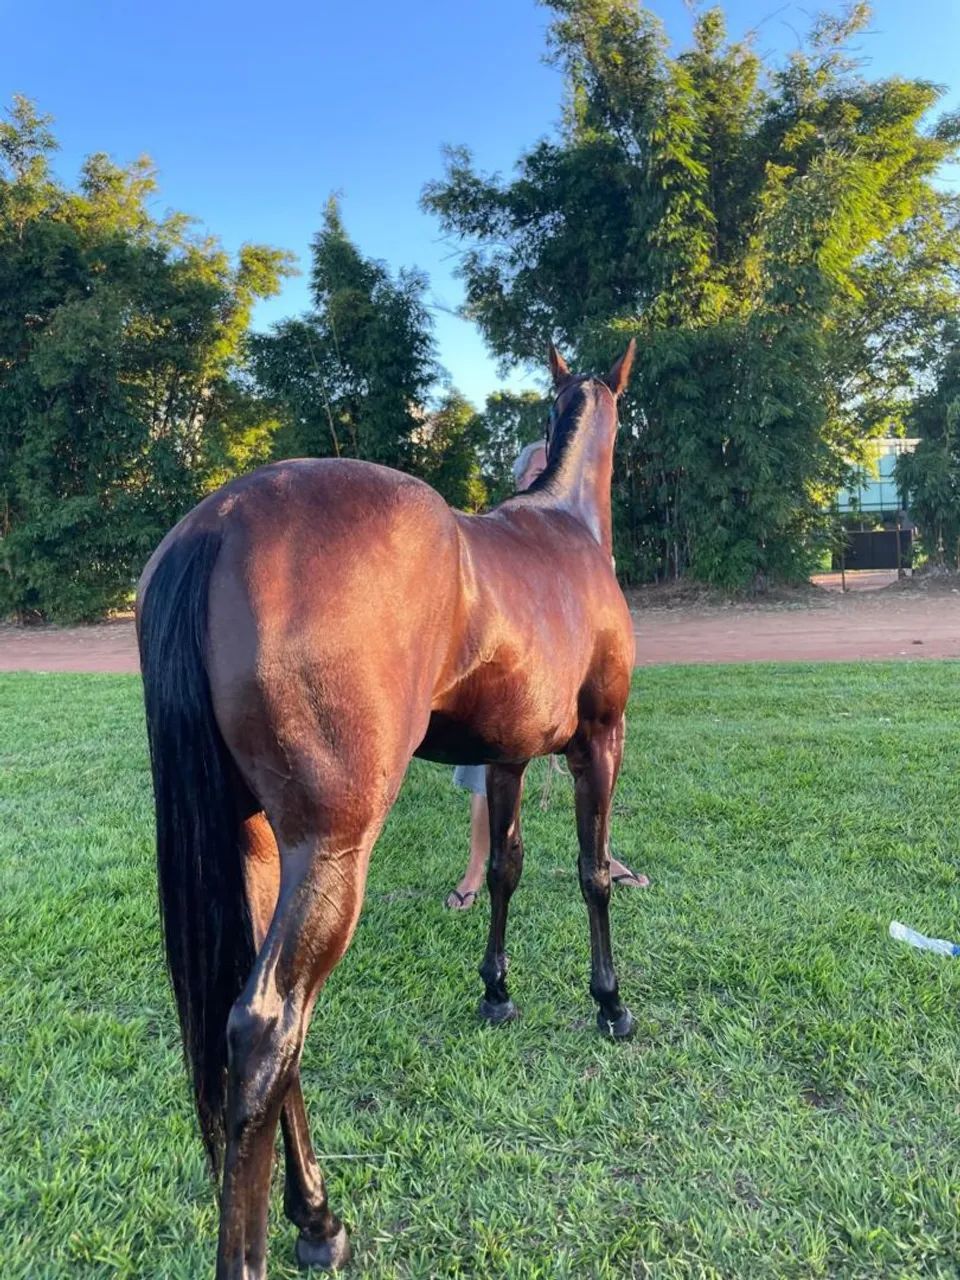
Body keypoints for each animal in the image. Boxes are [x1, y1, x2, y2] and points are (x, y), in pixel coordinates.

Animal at [136, 340, 637, 1277]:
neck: (567, 528)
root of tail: (219, 521)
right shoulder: (599, 743)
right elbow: (592, 875)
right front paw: (610, 1004)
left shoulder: (505, 758)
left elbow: (506, 869)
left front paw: (496, 992)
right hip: (334, 850)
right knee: (267, 1029)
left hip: (264, 845)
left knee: (268, 1030)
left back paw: (318, 1217)